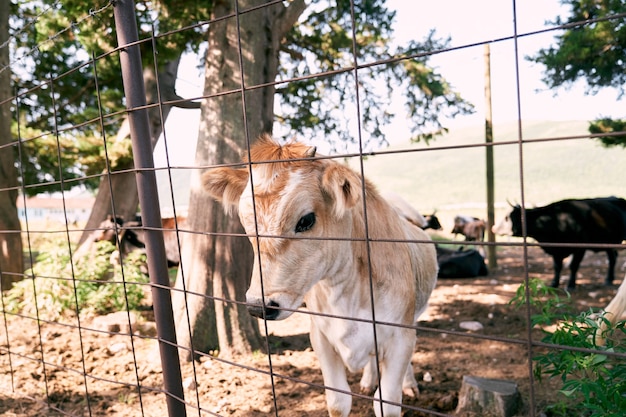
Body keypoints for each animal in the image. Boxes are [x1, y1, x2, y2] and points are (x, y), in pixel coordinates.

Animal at [202, 136, 436, 416]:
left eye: (306, 220)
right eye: (246, 225)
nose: (259, 306)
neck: (347, 292)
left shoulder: (400, 334)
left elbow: (386, 402)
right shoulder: (321, 337)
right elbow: (338, 402)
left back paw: (409, 385)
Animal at [492, 196, 624, 290]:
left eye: (507, 218)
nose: (493, 228)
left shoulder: (580, 248)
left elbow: (573, 266)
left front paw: (571, 285)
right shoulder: (556, 251)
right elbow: (557, 267)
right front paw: (554, 283)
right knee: (613, 258)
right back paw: (609, 279)